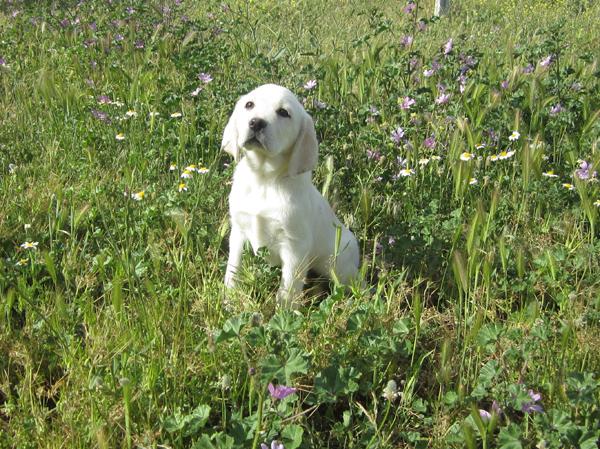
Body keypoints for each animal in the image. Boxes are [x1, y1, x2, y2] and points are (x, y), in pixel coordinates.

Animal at [221, 83, 358, 304]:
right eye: (249, 104)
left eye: (284, 113)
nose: (256, 123)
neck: (264, 179)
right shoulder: (238, 232)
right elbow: (233, 270)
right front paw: (229, 300)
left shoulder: (295, 247)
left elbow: (287, 290)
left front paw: (283, 313)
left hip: (338, 266)